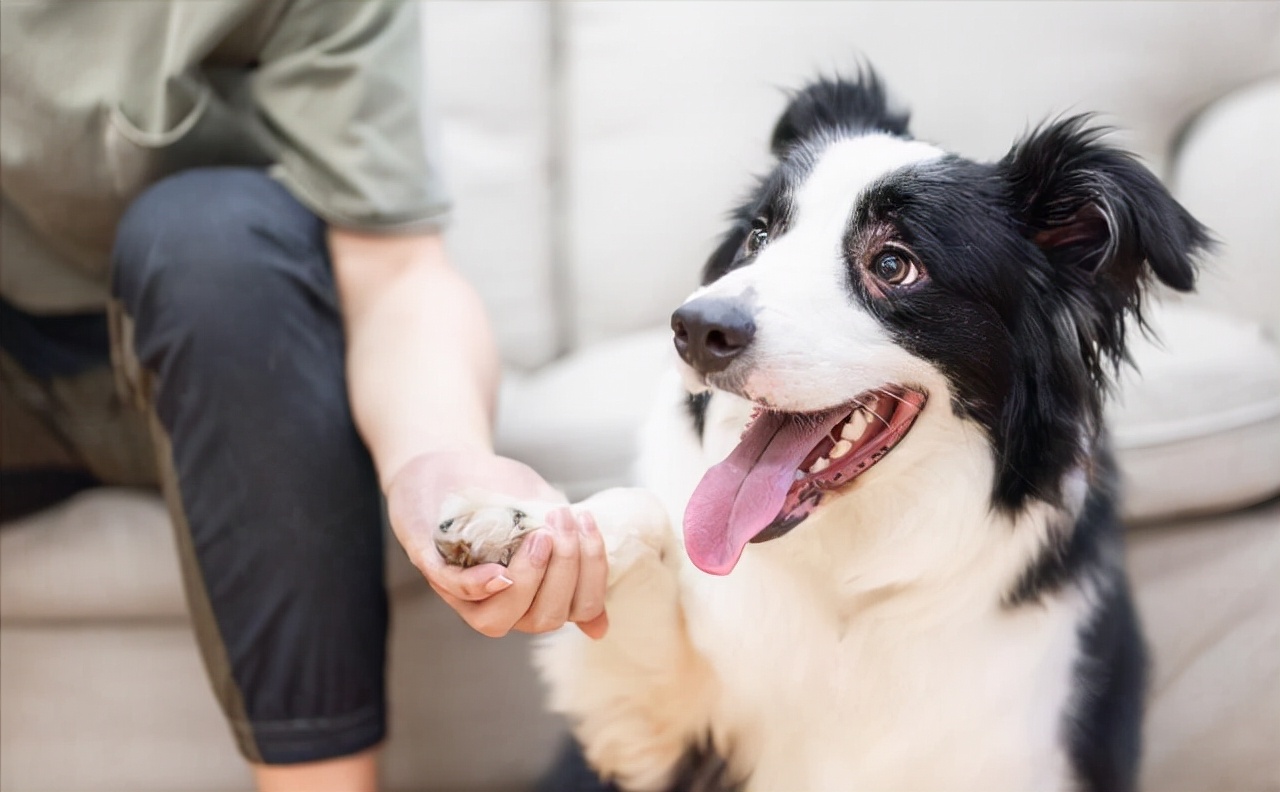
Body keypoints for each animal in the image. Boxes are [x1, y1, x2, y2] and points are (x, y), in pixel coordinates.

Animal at [435, 71, 1203, 792]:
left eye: (893, 264)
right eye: (759, 236)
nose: (695, 327)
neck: (851, 581)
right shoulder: (655, 740)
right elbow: (644, 524)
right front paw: (518, 520)